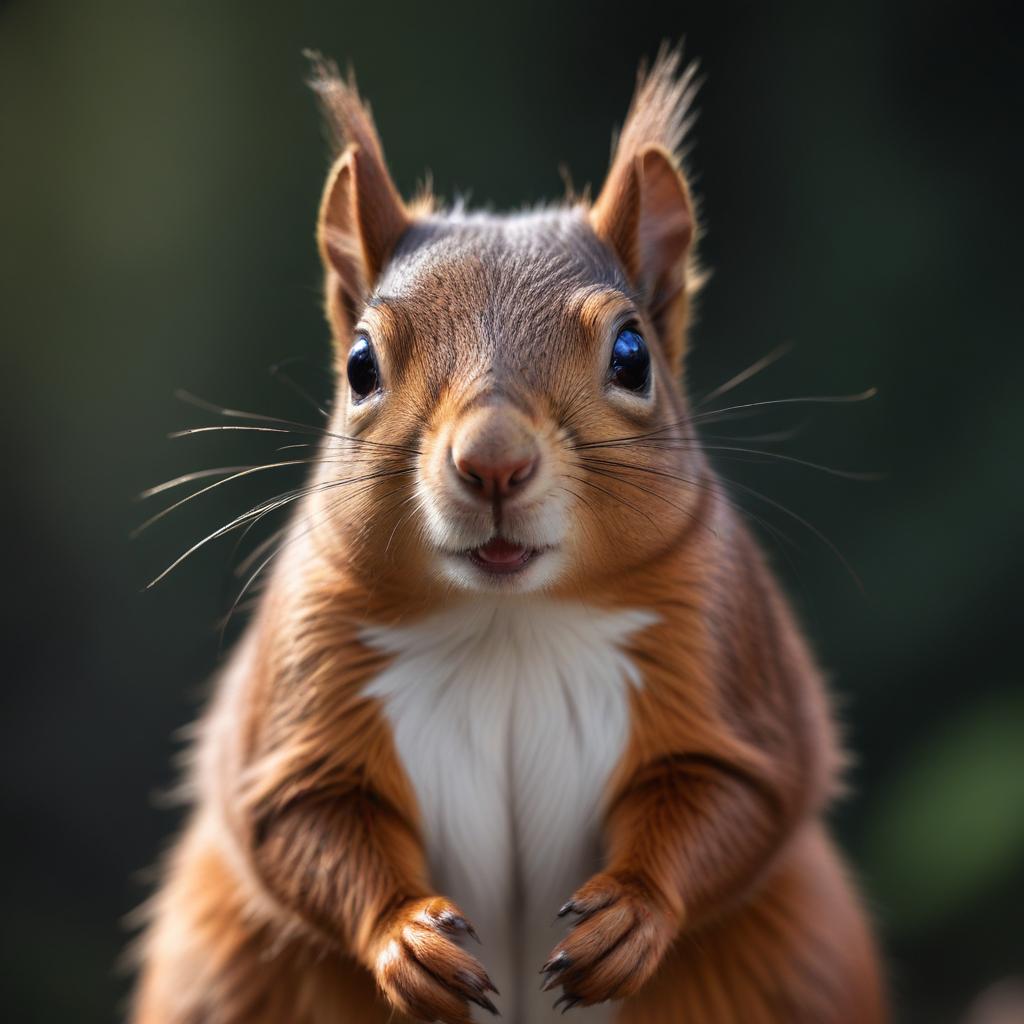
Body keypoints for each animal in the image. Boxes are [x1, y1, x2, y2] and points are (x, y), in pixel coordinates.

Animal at [130, 47, 886, 1024]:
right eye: (360, 364)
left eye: (633, 355)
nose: (492, 461)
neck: (508, 624)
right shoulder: (300, 682)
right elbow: (305, 816)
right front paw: (408, 939)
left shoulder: (727, 656)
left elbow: (729, 792)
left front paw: (629, 915)